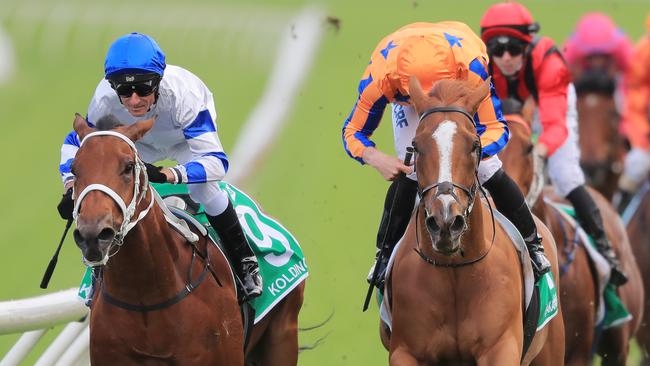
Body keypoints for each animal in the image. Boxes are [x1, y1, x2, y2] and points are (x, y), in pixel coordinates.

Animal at [382, 78, 560, 364]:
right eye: (416, 146)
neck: (455, 269)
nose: (445, 220)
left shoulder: (500, 347)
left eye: (474, 145)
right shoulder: (405, 351)